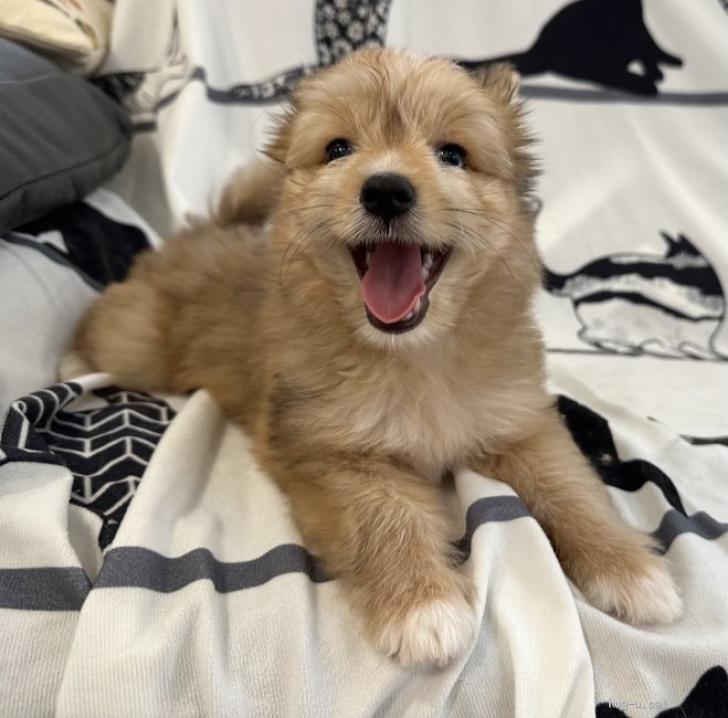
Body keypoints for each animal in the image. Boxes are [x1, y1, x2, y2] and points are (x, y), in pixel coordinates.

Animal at [65, 48, 681, 668]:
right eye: (339, 148)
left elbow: (573, 491)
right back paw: (72, 362)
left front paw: (629, 570)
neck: (415, 355)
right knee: (104, 325)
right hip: (139, 343)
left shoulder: (521, 425)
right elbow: (387, 516)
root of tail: (204, 233)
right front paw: (423, 606)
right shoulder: (334, 453)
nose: (386, 189)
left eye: (452, 155)